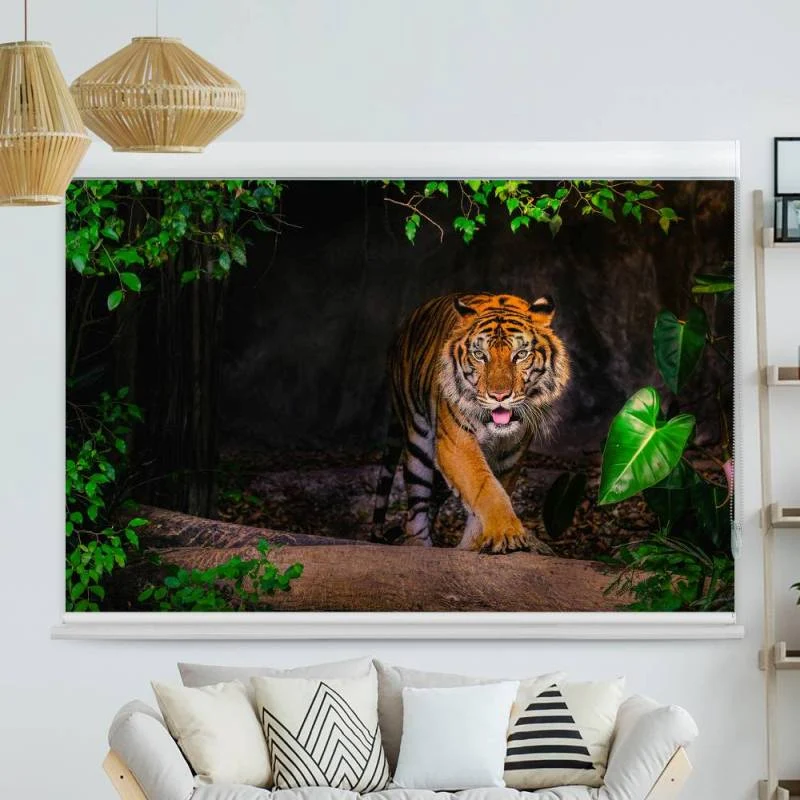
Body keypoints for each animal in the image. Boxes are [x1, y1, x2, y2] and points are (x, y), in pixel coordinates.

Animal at [372, 292, 570, 554]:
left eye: (520, 355)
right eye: (480, 356)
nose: (499, 396)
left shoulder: (511, 456)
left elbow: (494, 491)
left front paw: (475, 544)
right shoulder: (456, 444)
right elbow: (485, 487)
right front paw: (507, 533)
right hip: (418, 443)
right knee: (416, 507)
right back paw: (418, 545)